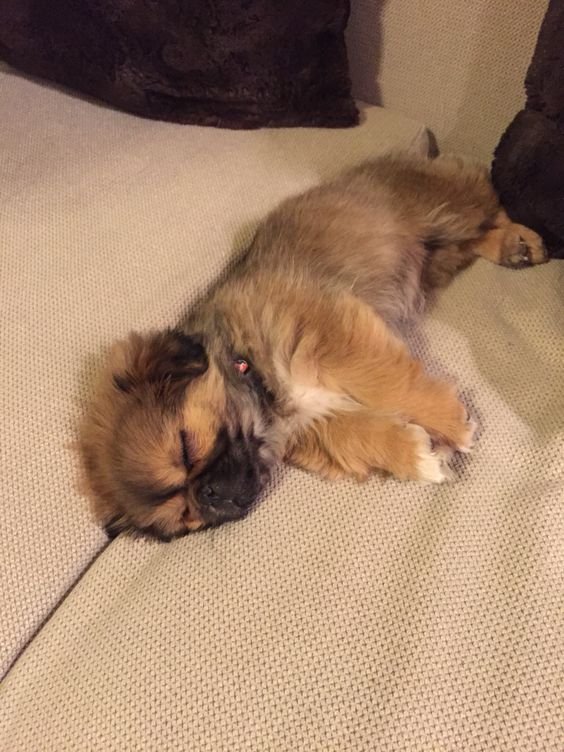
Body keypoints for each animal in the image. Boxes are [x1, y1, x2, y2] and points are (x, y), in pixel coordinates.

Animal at [79, 153, 548, 540]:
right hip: (440, 257)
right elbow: (363, 435)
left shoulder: (331, 334)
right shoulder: (319, 422)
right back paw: (512, 246)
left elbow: (389, 383)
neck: (249, 367)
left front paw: (450, 423)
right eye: (186, 517)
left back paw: (521, 241)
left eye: (186, 448)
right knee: (473, 237)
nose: (210, 494)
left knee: (488, 198)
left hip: (447, 209)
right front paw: (421, 453)